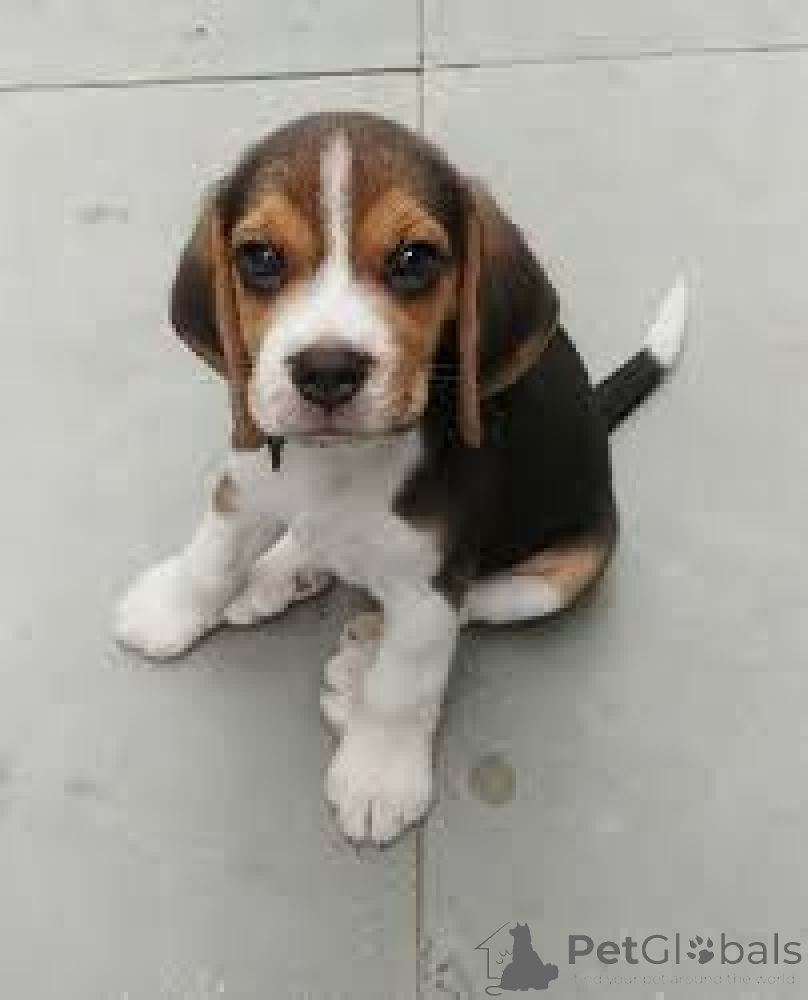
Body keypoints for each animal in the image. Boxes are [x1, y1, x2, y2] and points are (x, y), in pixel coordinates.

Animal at [115, 111, 686, 844]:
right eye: (260, 258)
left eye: (414, 261)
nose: (327, 370)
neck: (338, 462)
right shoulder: (246, 477)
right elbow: (211, 553)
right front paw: (171, 608)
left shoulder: (433, 579)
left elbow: (404, 683)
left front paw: (377, 775)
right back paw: (282, 570)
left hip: (570, 571)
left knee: (473, 607)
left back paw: (359, 649)